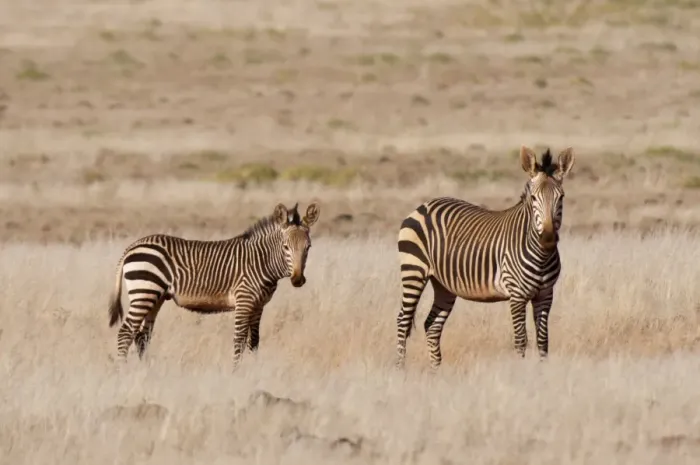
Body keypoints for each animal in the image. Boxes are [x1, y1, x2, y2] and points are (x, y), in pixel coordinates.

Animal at [107, 202, 320, 369]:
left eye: (308, 247)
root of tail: (133, 246)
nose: (298, 280)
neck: (261, 262)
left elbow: (254, 341)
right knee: (126, 332)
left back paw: (145, 371)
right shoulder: (244, 301)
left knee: (142, 336)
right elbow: (239, 340)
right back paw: (123, 371)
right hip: (144, 291)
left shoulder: (258, 306)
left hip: (155, 297)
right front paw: (236, 373)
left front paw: (253, 371)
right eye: (285, 247)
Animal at [396, 146, 575, 369]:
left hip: (443, 285)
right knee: (403, 320)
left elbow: (543, 340)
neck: (541, 256)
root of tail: (423, 205)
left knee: (432, 325)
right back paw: (400, 368)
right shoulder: (517, 295)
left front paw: (543, 371)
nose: (548, 238)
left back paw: (436, 370)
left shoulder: (545, 295)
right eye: (533, 198)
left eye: (562, 197)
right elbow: (521, 339)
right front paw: (521, 372)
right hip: (413, 271)